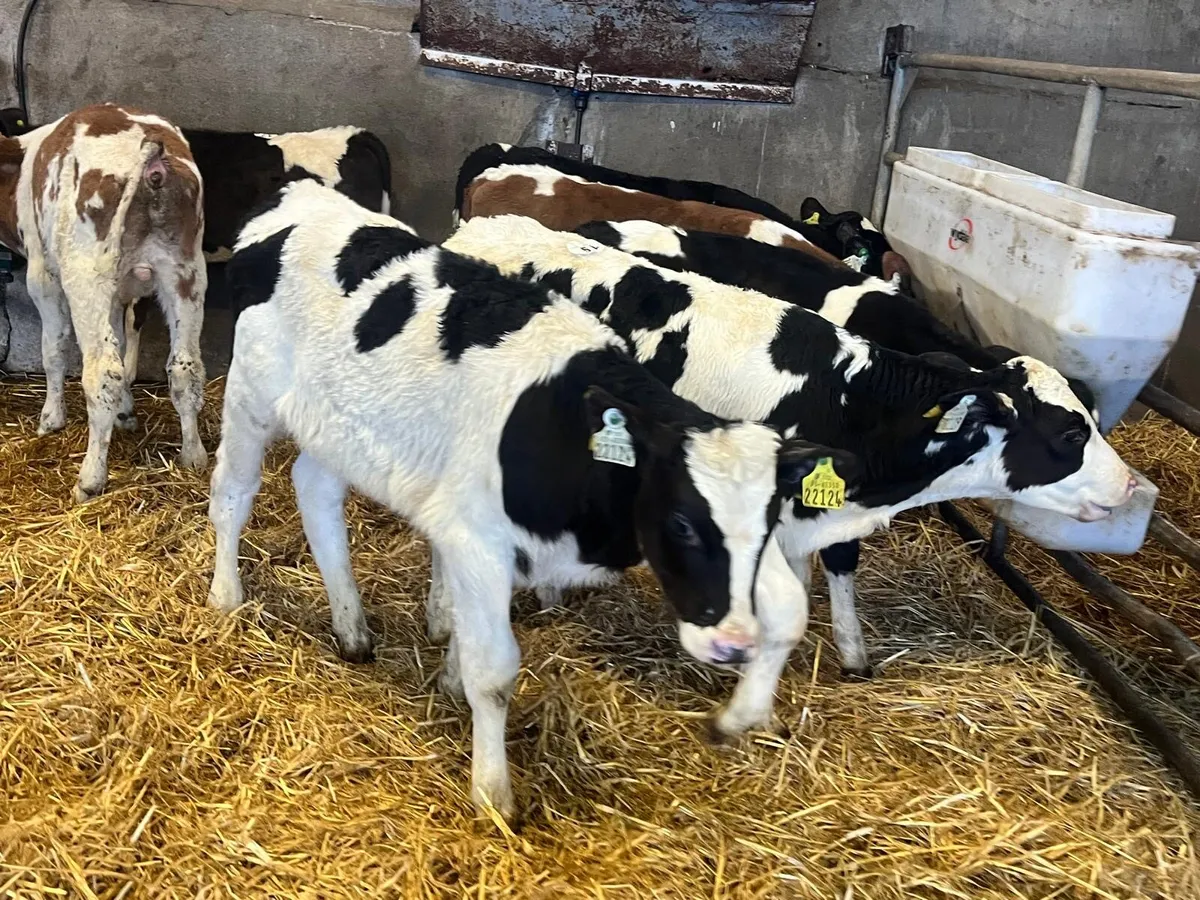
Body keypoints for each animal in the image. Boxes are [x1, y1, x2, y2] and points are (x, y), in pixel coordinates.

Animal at [0, 103, 208, 502]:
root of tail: (153, 159)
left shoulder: (43, 277)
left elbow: (54, 349)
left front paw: (51, 418)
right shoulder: (119, 293)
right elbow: (124, 346)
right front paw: (127, 414)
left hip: (86, 275)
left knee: (102, 373)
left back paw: (90, 479)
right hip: (186, 275)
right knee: (184, 368)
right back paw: (193, 456)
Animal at [209, 179, 851, 824]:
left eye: (768, 525)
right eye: (681, 523)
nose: (733, 644)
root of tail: (303, 196)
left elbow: (790, 608)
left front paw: (742, 715)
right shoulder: (477, 540)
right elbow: (493, 674)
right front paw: (493, 793)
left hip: (339, 425)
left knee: (315, 489)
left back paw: (352, 628)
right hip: (250, 394)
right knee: (232, 495)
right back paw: (226, 596)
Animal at [442, 214, 1137, 690]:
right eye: (1071, 435)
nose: (1130, 486)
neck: (854, 397)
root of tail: (491, 224)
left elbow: (831, 569)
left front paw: (848, 655)